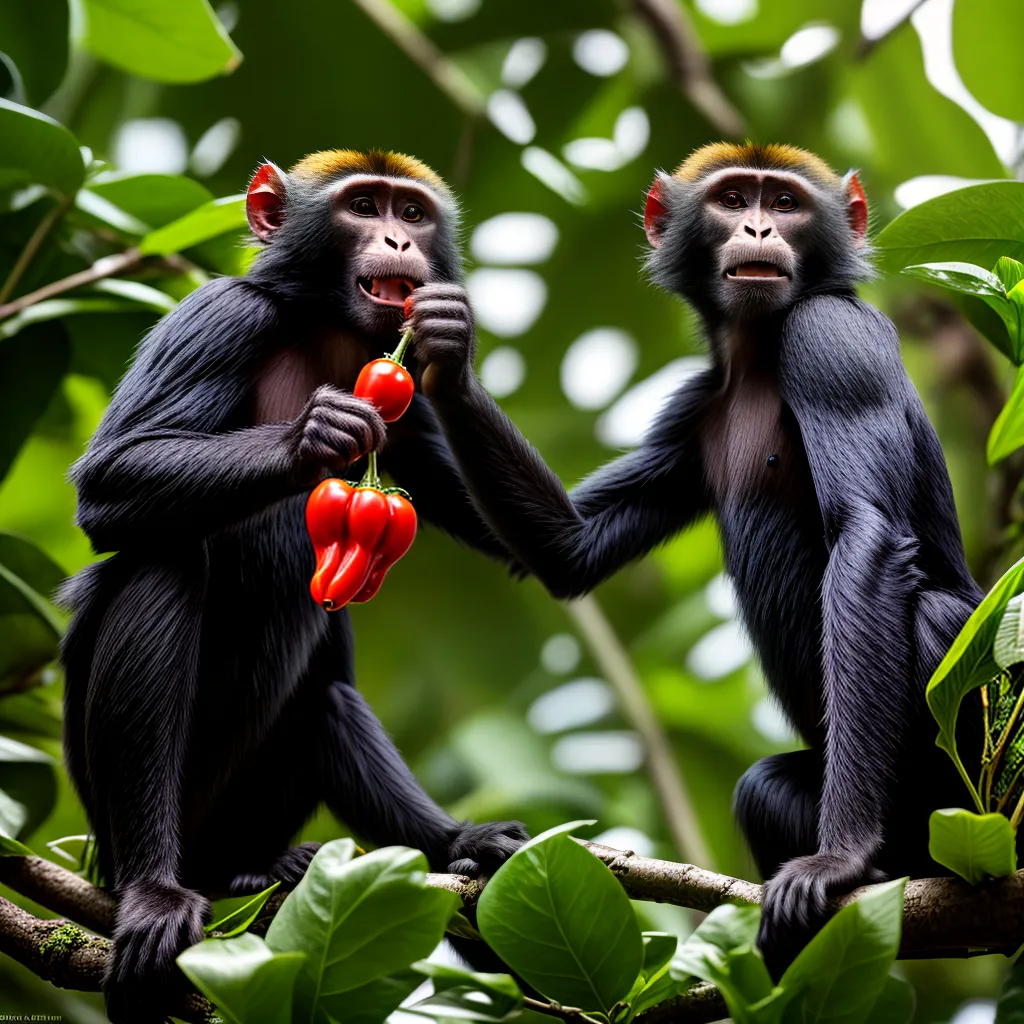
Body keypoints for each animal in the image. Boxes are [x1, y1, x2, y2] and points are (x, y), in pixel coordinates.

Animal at [58, 149, 528, 1022]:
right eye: (364, 207)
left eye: (413, 214)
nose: (397, 240)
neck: (325, 329)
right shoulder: (220, 316)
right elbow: (108, 481)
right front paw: (315, 436)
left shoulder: (409, 409)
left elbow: (551, 543)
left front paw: (454, 344)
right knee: (163, 559)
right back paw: (155, 889)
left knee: (328, 700)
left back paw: (426, 848)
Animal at [405, 142, 984, 975]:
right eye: (734, 198)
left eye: (785, 202)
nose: (757, 227)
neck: (755, 358)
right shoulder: (696, 405)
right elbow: (569, 549)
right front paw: (435, 357)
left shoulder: (832, 338)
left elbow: (867, 533)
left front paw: (837, 859)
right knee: (762, 789)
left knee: (937, 615)